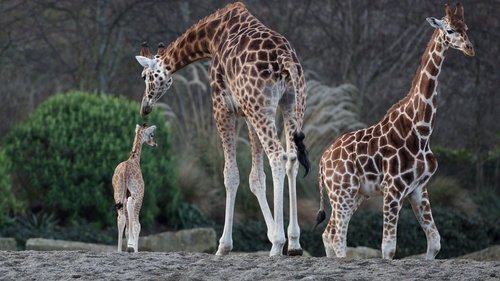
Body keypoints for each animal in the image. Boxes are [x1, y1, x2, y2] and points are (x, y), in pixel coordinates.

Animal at [113, 122, 156, 252]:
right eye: (152, 135)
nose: (155, 144)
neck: (134, 158)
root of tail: (126, 170)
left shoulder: (127, 195)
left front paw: (129, 244)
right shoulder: (137, 194)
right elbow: (136, 224)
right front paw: (132, 246)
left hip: (117, 193)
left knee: (120, 219)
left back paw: (119, 250)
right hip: (138, 194)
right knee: (137, 224)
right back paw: (134, 250)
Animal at [133, 1, 308, 256]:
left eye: (145, 76)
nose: (145, 107)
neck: (212, 36)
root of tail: (285, 61)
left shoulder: (222, 107)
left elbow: (230, 174)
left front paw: (224, 245)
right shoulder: (247, 112)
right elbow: (256, 177)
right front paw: (271, 233)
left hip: (263, 108)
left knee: (278, 156)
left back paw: (277, 245)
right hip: (291, 104)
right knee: (292, 158)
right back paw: (294, 243)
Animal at [314, 3, 474, 260]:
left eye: (466, 27)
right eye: (449, 30)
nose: (469, 48)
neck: (421, 131)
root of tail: (322, 160)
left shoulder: (419, 188)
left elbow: (435, 243)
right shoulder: (394, 188)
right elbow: (388, 249)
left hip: (354, 194)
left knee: (329, 233)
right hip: (342, 191)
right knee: (338, 236)